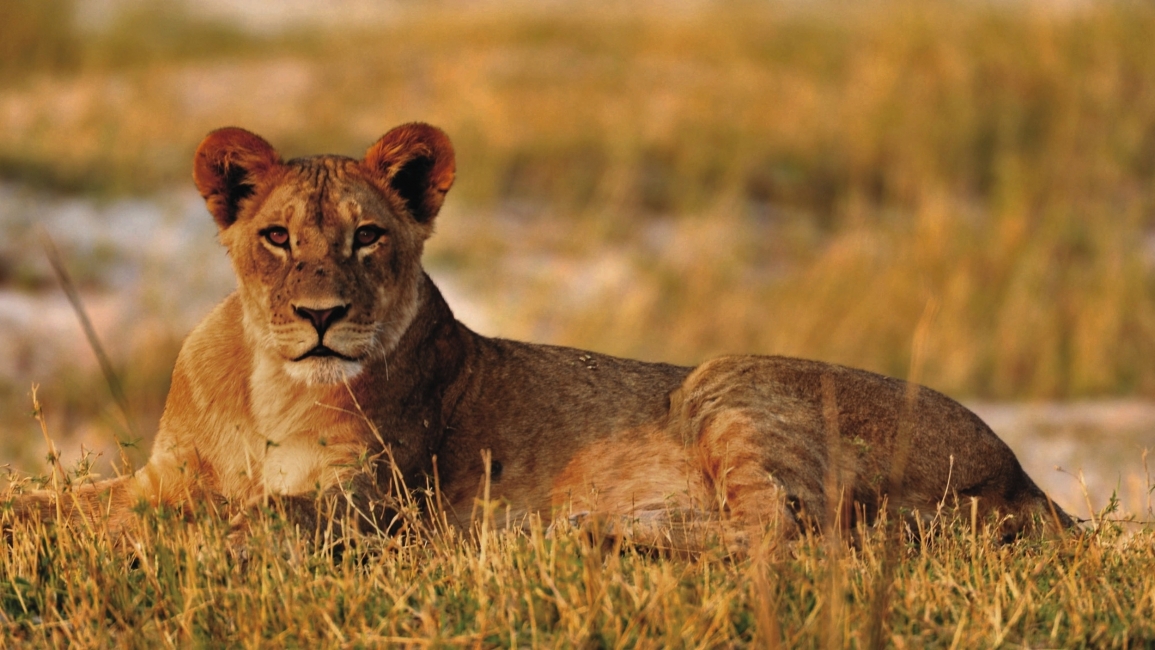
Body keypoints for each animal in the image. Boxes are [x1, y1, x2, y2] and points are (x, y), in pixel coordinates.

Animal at [7, 123, 1074, 552]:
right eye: (276, 237)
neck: (273, 380)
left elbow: (258, 517)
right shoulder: (164, 472)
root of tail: (1023, 473)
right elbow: (67, 504)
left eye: (367, 237)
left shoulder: (374, 503)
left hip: (726, 382)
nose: (321, 317)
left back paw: (581, 538)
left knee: (787, 537)